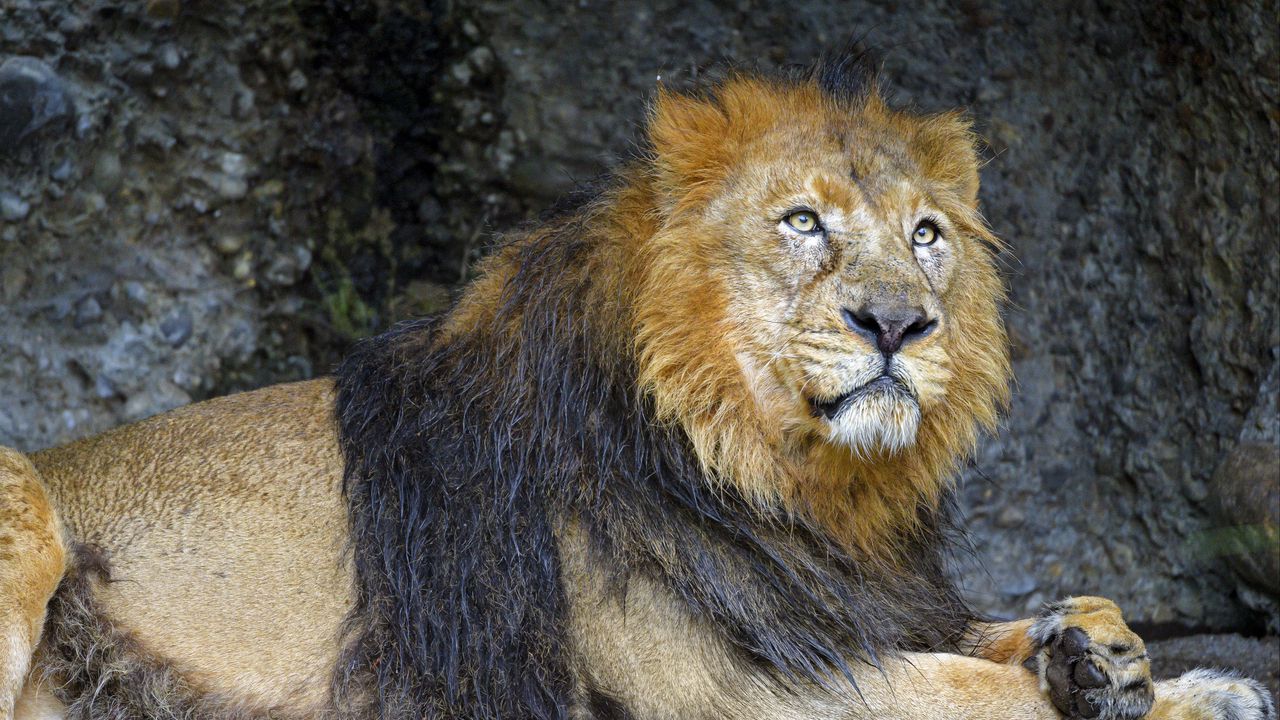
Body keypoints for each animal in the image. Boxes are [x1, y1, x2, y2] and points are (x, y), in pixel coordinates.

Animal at [0, 54, 1273, 720]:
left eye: (926, 236)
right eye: (801, 223)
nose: (897, 323)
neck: (793, 484)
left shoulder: (830, 604)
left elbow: (992, 636)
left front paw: (1114, 658)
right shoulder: (716, 690)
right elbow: (973, 692)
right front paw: (1125, 682)